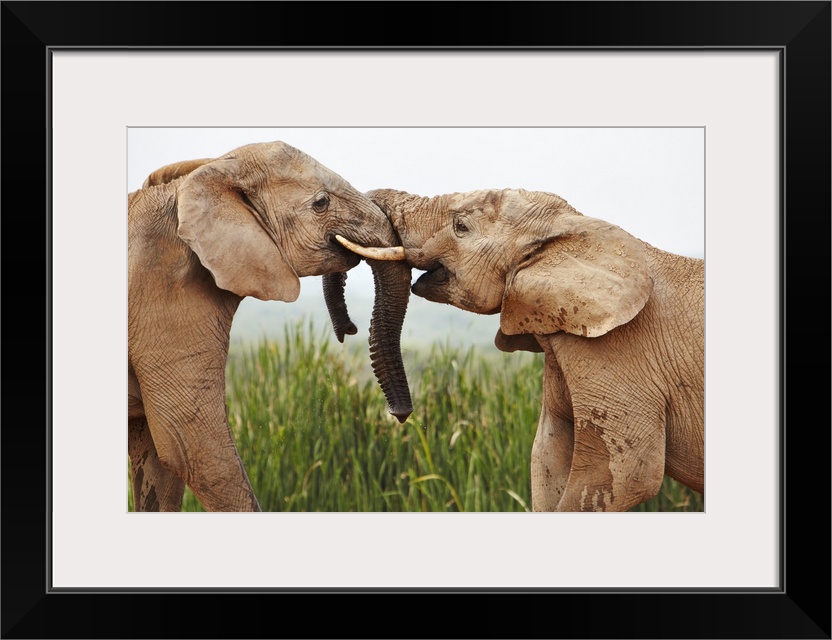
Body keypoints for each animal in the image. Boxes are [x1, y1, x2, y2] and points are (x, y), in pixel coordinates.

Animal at [128, 142, 412, 512]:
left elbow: (157, 466)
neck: (211, 171)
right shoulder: (166, 295)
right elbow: (193, 448)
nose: (400, 415)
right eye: (321, 203)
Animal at [348, 188, 704, 512]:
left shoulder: (618, 347)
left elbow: (626, 473)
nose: (401, 415)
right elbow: (547, 451)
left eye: (461, 226)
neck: (573, 230)